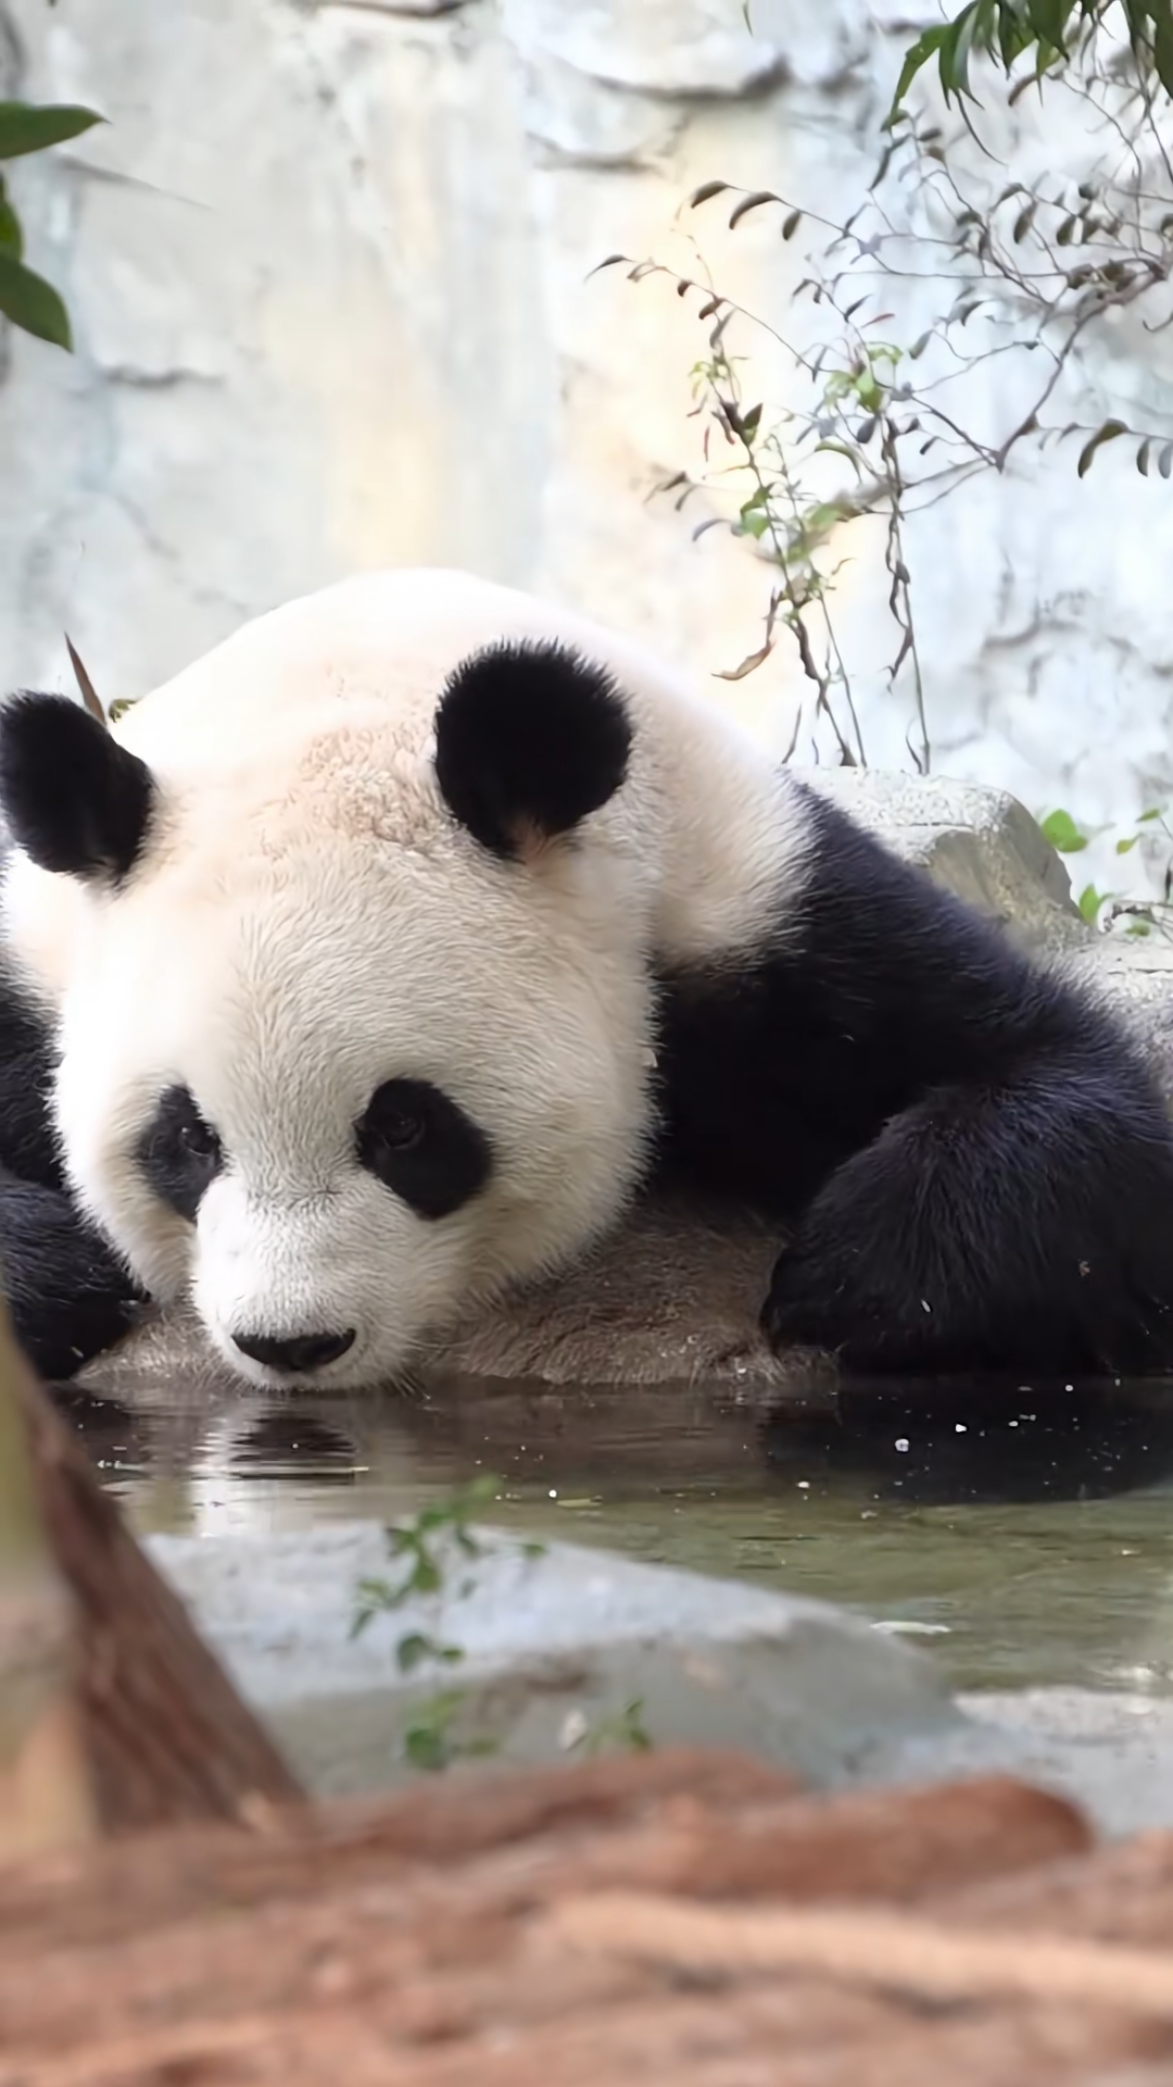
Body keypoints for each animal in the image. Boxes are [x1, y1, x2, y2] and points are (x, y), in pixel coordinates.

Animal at [0, 563, 1168, 1402]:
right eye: (187, 1138)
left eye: (405, 1127)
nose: (292, 1341)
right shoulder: (33, 981)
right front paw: (64, 1275)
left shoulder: (759, 919)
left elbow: (1071, 1100)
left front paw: (846, 1275)